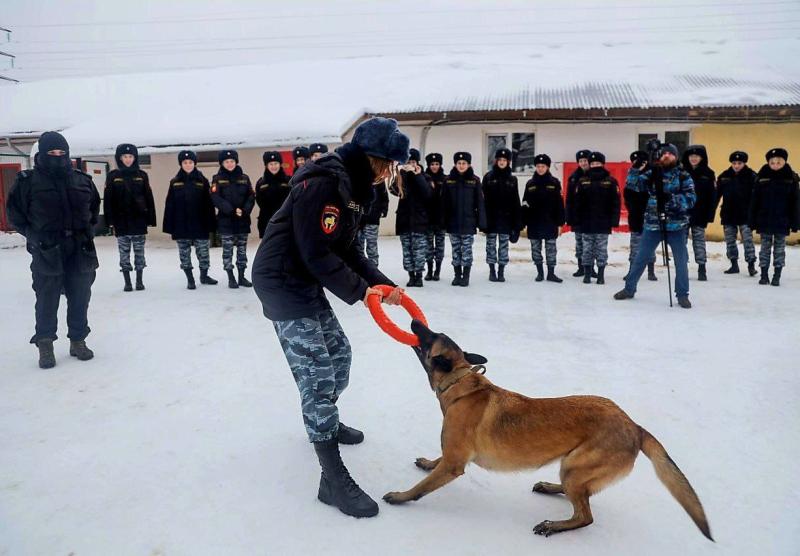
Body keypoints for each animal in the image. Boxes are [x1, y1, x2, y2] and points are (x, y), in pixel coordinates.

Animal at [384, 320, 716, 540]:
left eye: (430, 336)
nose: (415, 321)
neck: (461, 385)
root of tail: (634, 425)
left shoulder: (455, 462)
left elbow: (422, 487)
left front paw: (401, 496)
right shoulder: (452, 453)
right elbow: (437, 461)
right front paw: (427, 463)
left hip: (576, 467)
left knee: (585, 516)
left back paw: (554, 526)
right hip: (571, 467)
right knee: (580, 497)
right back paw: (550, 488)